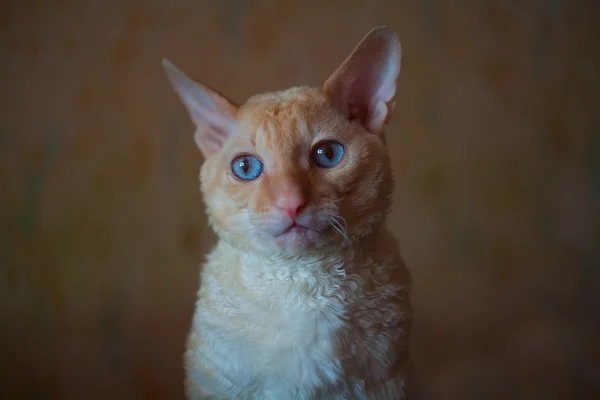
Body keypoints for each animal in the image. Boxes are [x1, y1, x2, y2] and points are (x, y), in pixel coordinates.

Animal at [162, 26, 414, 398]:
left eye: (327, 154)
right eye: (246, 167)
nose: (290, 201)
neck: (300, 290)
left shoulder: (385, 384)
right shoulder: (217, 385)